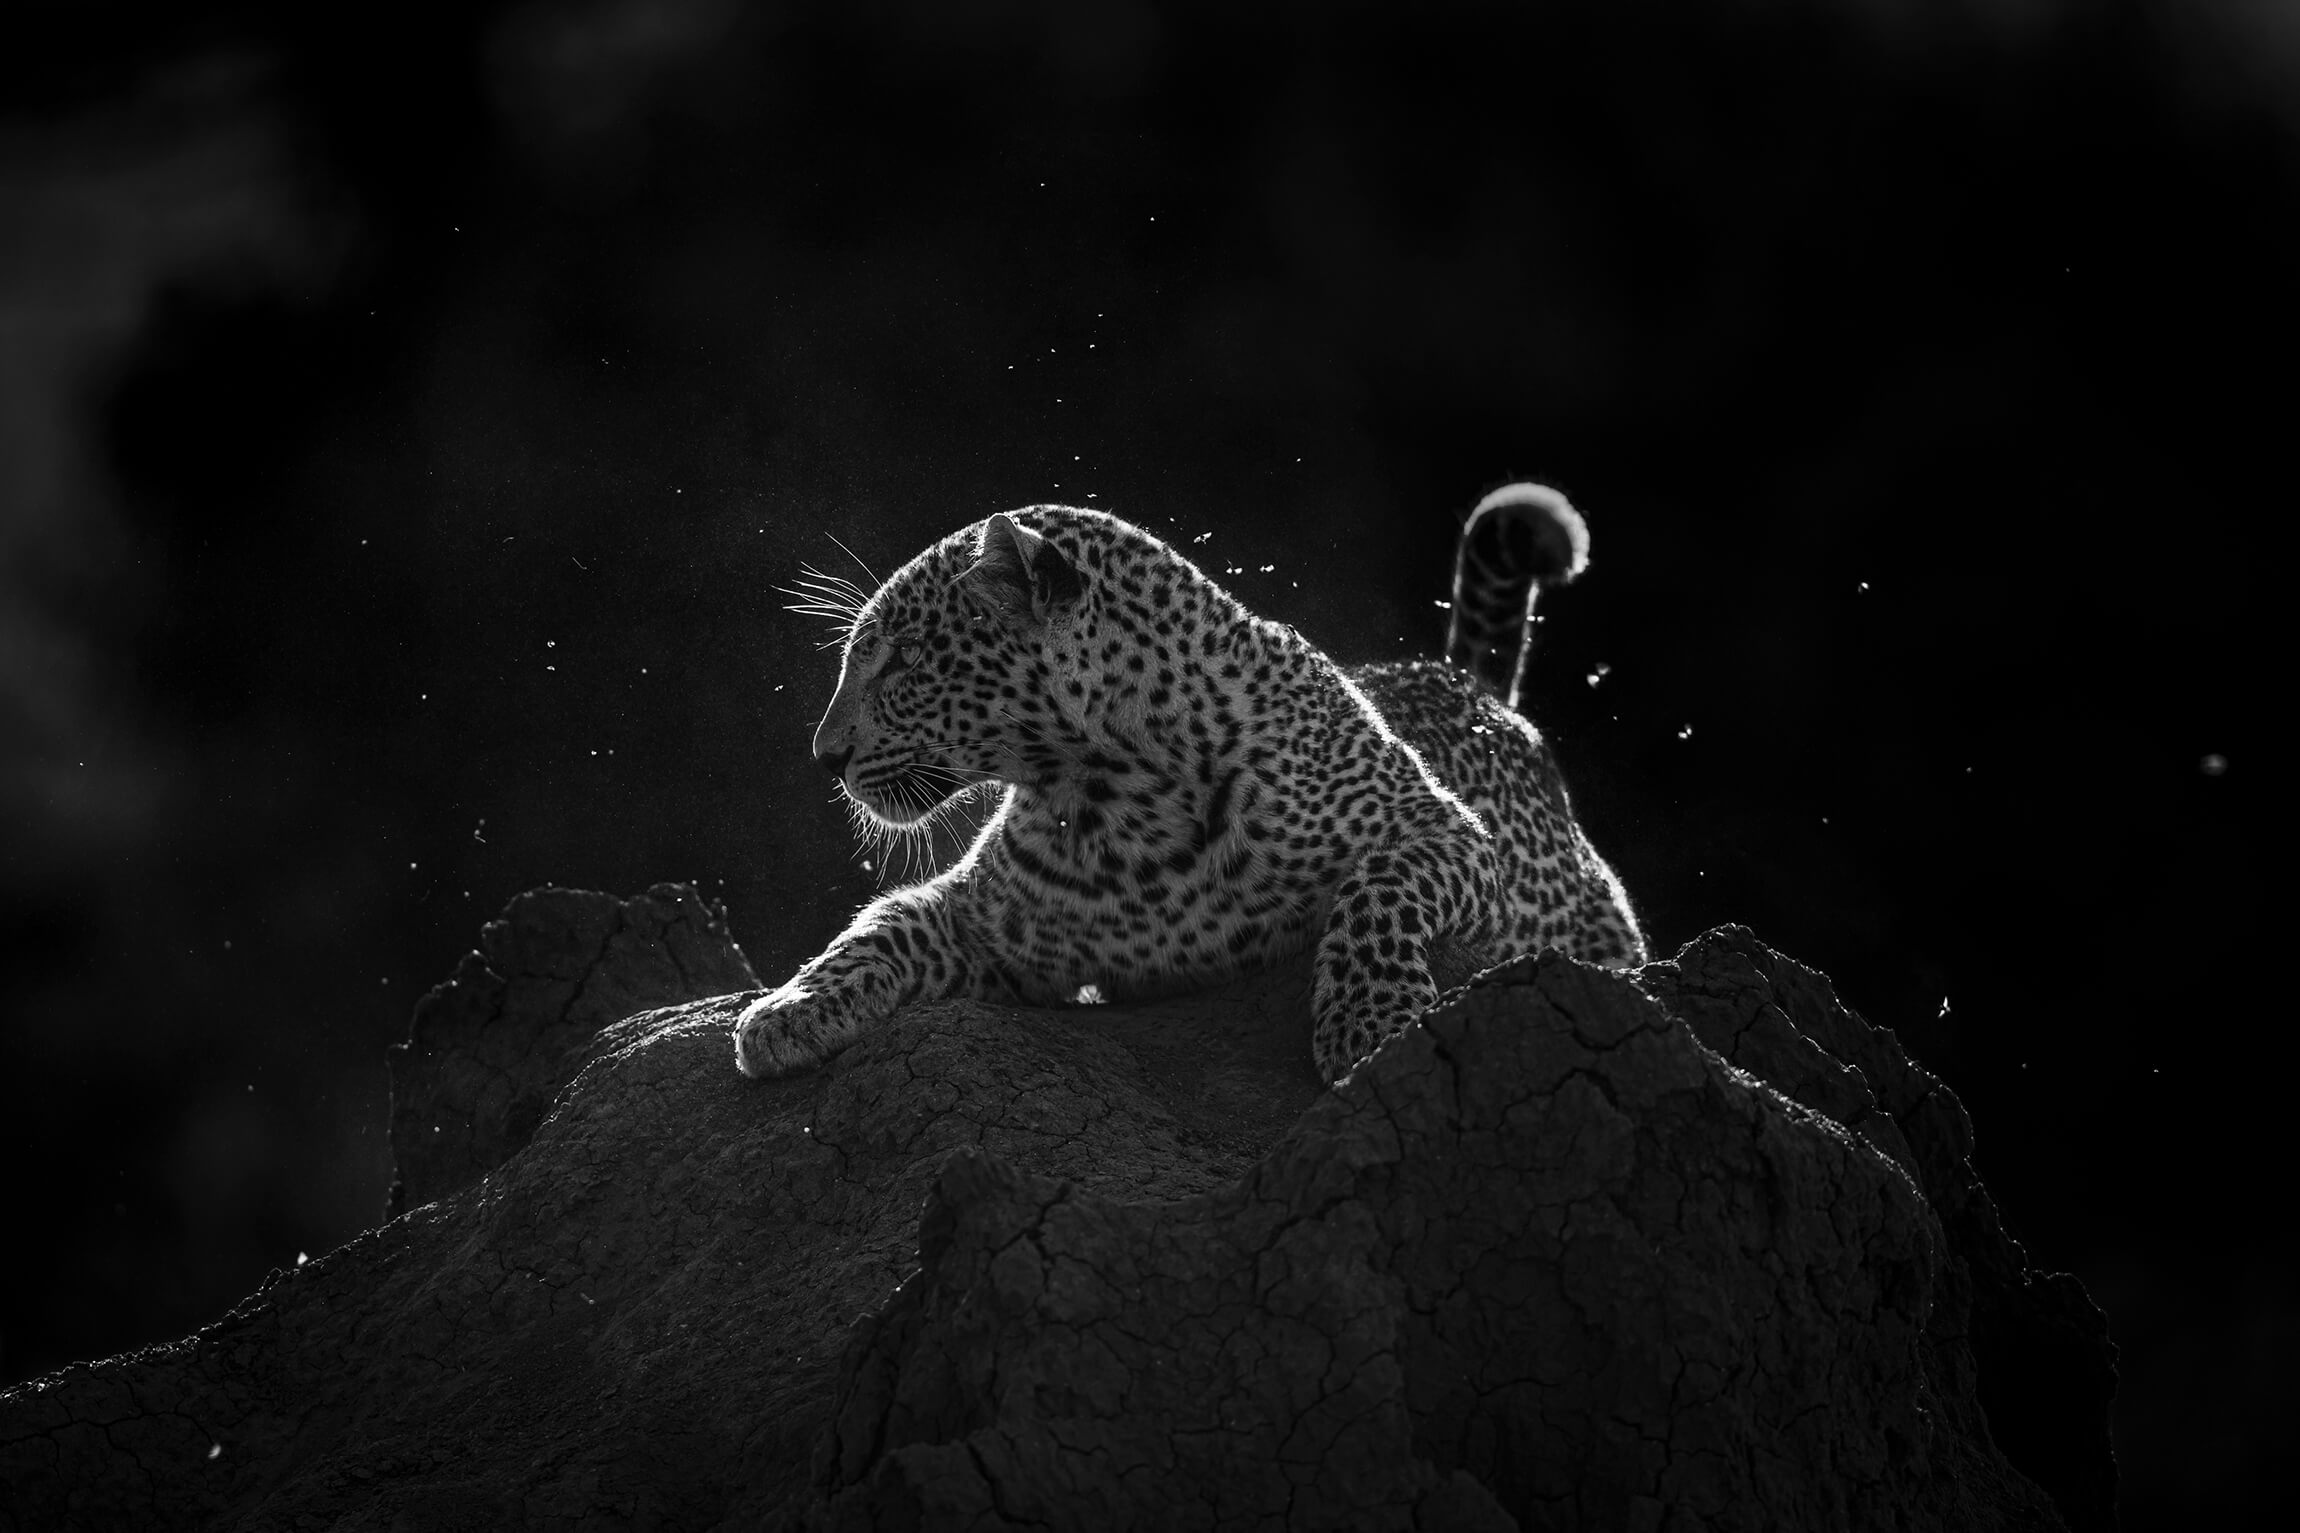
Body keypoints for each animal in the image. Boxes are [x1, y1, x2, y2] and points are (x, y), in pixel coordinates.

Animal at [734, 482, 1645, 1087]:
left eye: (905, 661)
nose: (825, 755)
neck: (1115, 792)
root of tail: (1465, 681)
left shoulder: (1446, 834)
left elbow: (1376, 890)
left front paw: (1370, 1024)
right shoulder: (983, 924)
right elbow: (877, 928)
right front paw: (785, 1013)